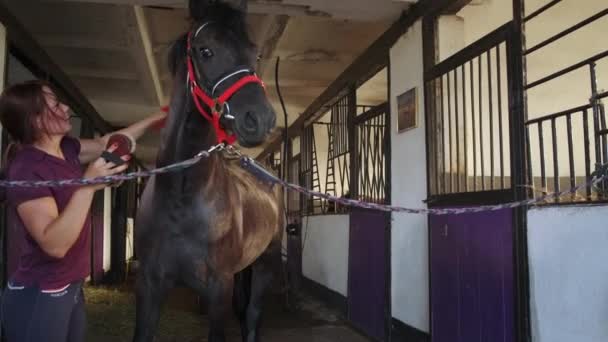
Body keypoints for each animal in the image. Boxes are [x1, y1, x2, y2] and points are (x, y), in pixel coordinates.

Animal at [132, 1, 282, 340]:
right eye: (205, 51)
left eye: (254, 54)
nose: (260, 119)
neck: (181, 199)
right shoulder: (149, 286)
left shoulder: (218, 291)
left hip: (266, 264)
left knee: (252, 315)